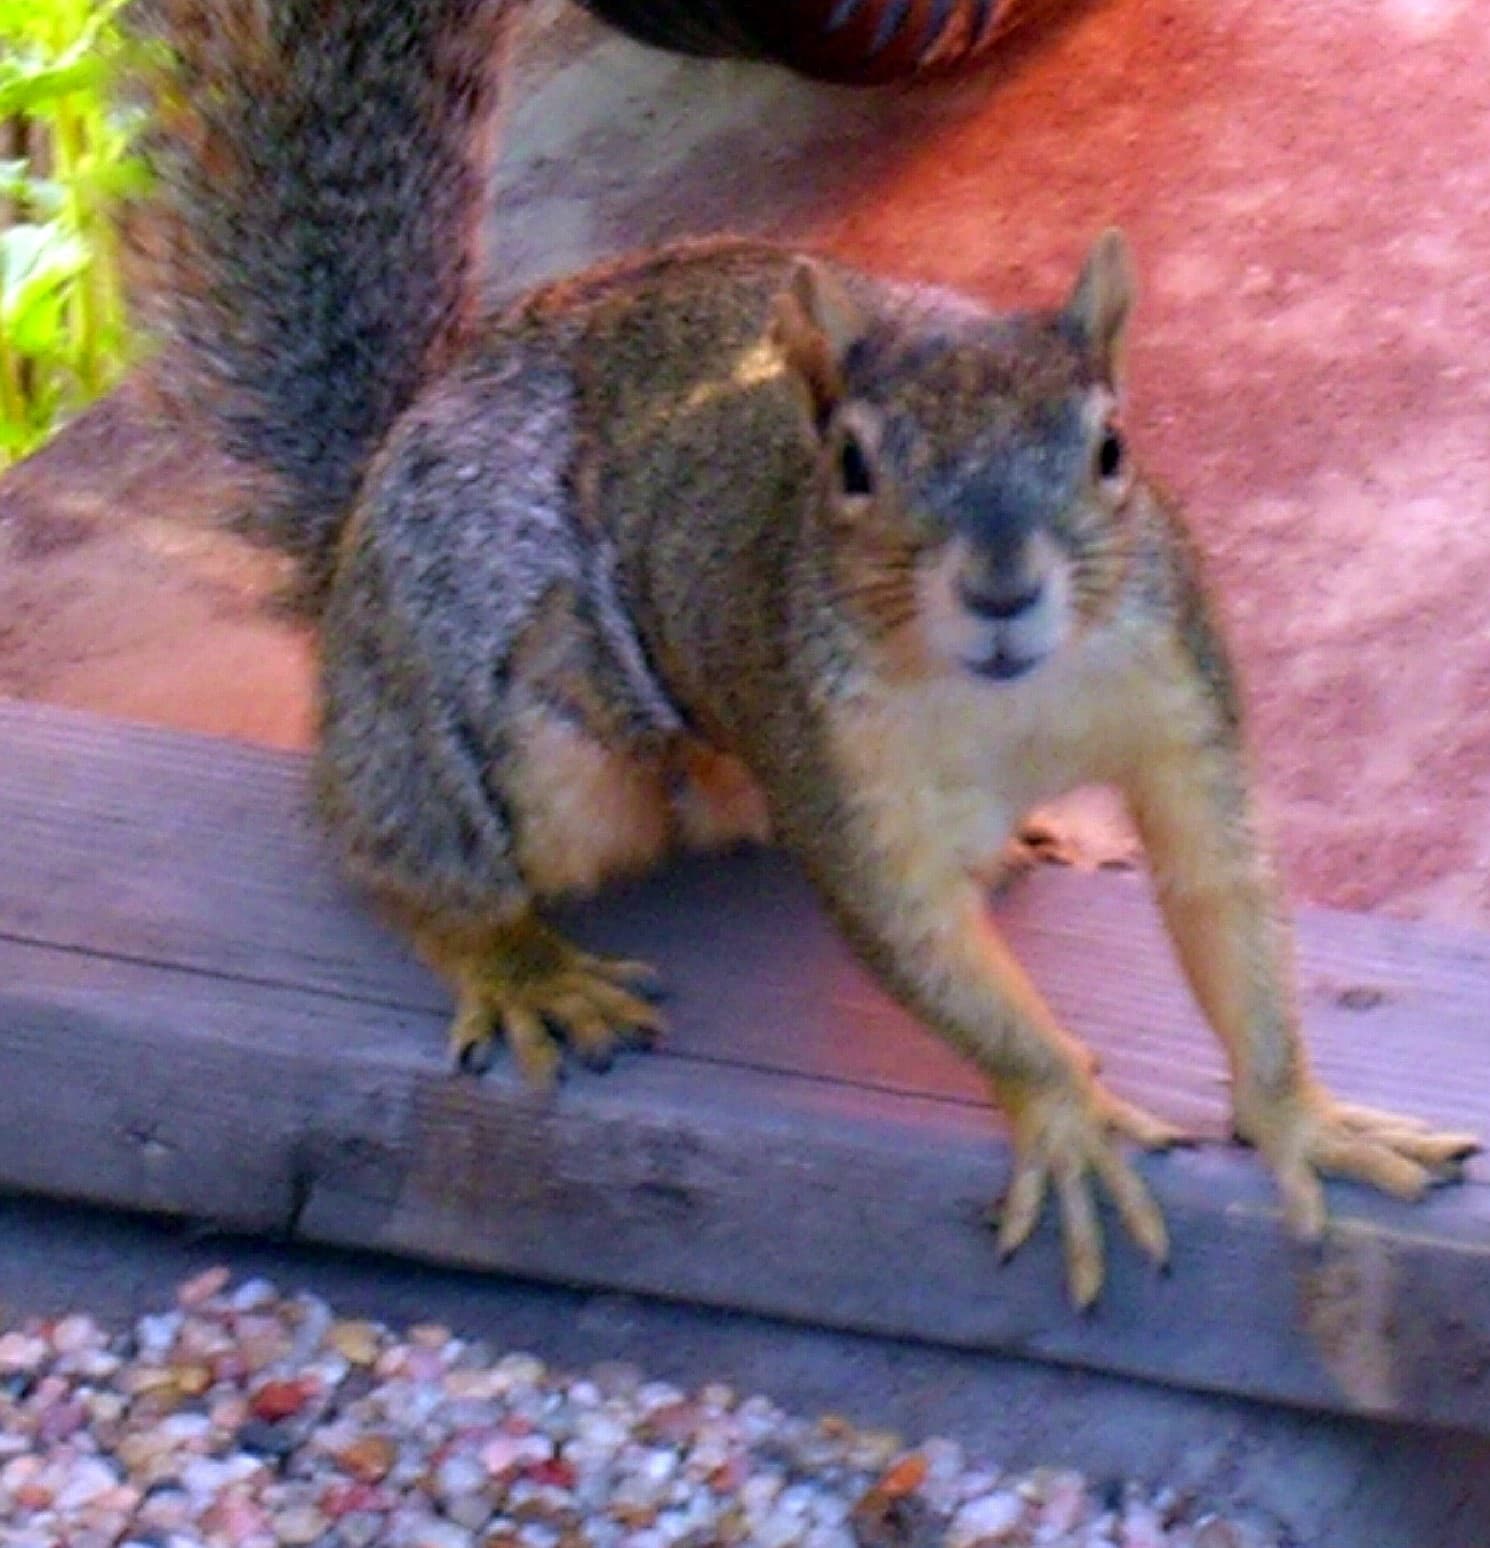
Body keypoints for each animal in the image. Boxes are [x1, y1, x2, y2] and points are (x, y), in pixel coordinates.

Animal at [132, 0, 1478, 1308]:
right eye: (851, 465)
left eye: (1110, 448)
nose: (1000, 590)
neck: (1012, 705)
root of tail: (362, 520)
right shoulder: (832, 775)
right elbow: (928, 957)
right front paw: (1066, 1120)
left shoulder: (1180, 705)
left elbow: (1222, 902)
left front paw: (1298, 1118)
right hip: (499, 711)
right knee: (405, 855)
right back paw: (517, 965)